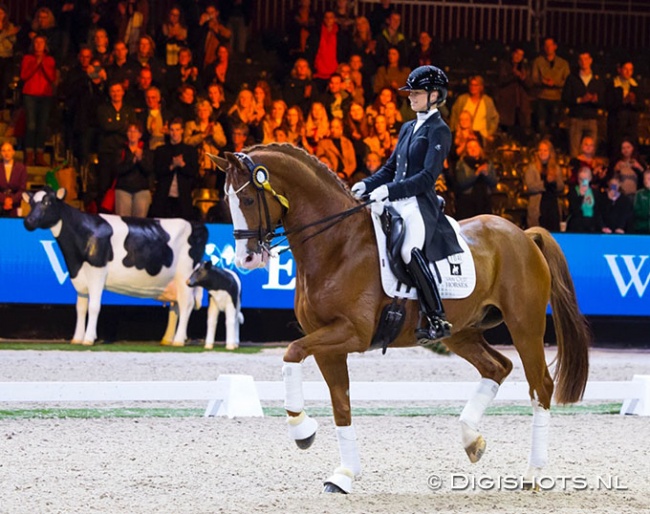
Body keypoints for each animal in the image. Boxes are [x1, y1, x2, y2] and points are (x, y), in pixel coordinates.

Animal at [208, 144, 588, 492]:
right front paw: (343, 475)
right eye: (228, 201)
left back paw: (532, 474)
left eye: (249, 200)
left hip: (525, 325)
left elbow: (291, 352)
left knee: (541, 386)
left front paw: (302, 430)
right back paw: (472, 441)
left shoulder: (352, 333)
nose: (246, 259)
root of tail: (524, 234)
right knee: (497, 367)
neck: (336, 245)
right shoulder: (328, 343)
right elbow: (341, 404)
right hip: (459, 332)